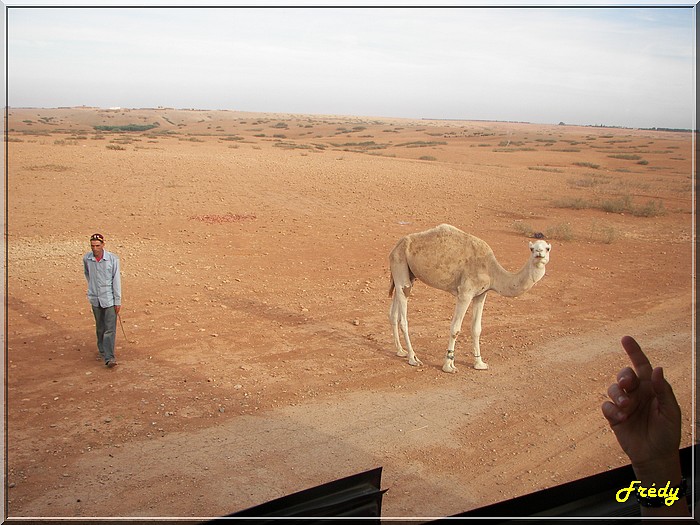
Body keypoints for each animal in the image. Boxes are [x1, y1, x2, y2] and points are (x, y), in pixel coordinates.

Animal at [388, 223, 552, 370]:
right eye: (531, 248)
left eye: (547, 248)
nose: (539, 253)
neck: (491, 270)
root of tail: (396, 246)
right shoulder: (465, 293)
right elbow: (455, 328)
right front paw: (449, 365)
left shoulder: (481, 294)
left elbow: (476, 328)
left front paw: (479, 363)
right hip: (400, 262)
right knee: (404, 317)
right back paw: (413, 358)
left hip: (407, 274)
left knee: (394, 311)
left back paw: (400, 351)